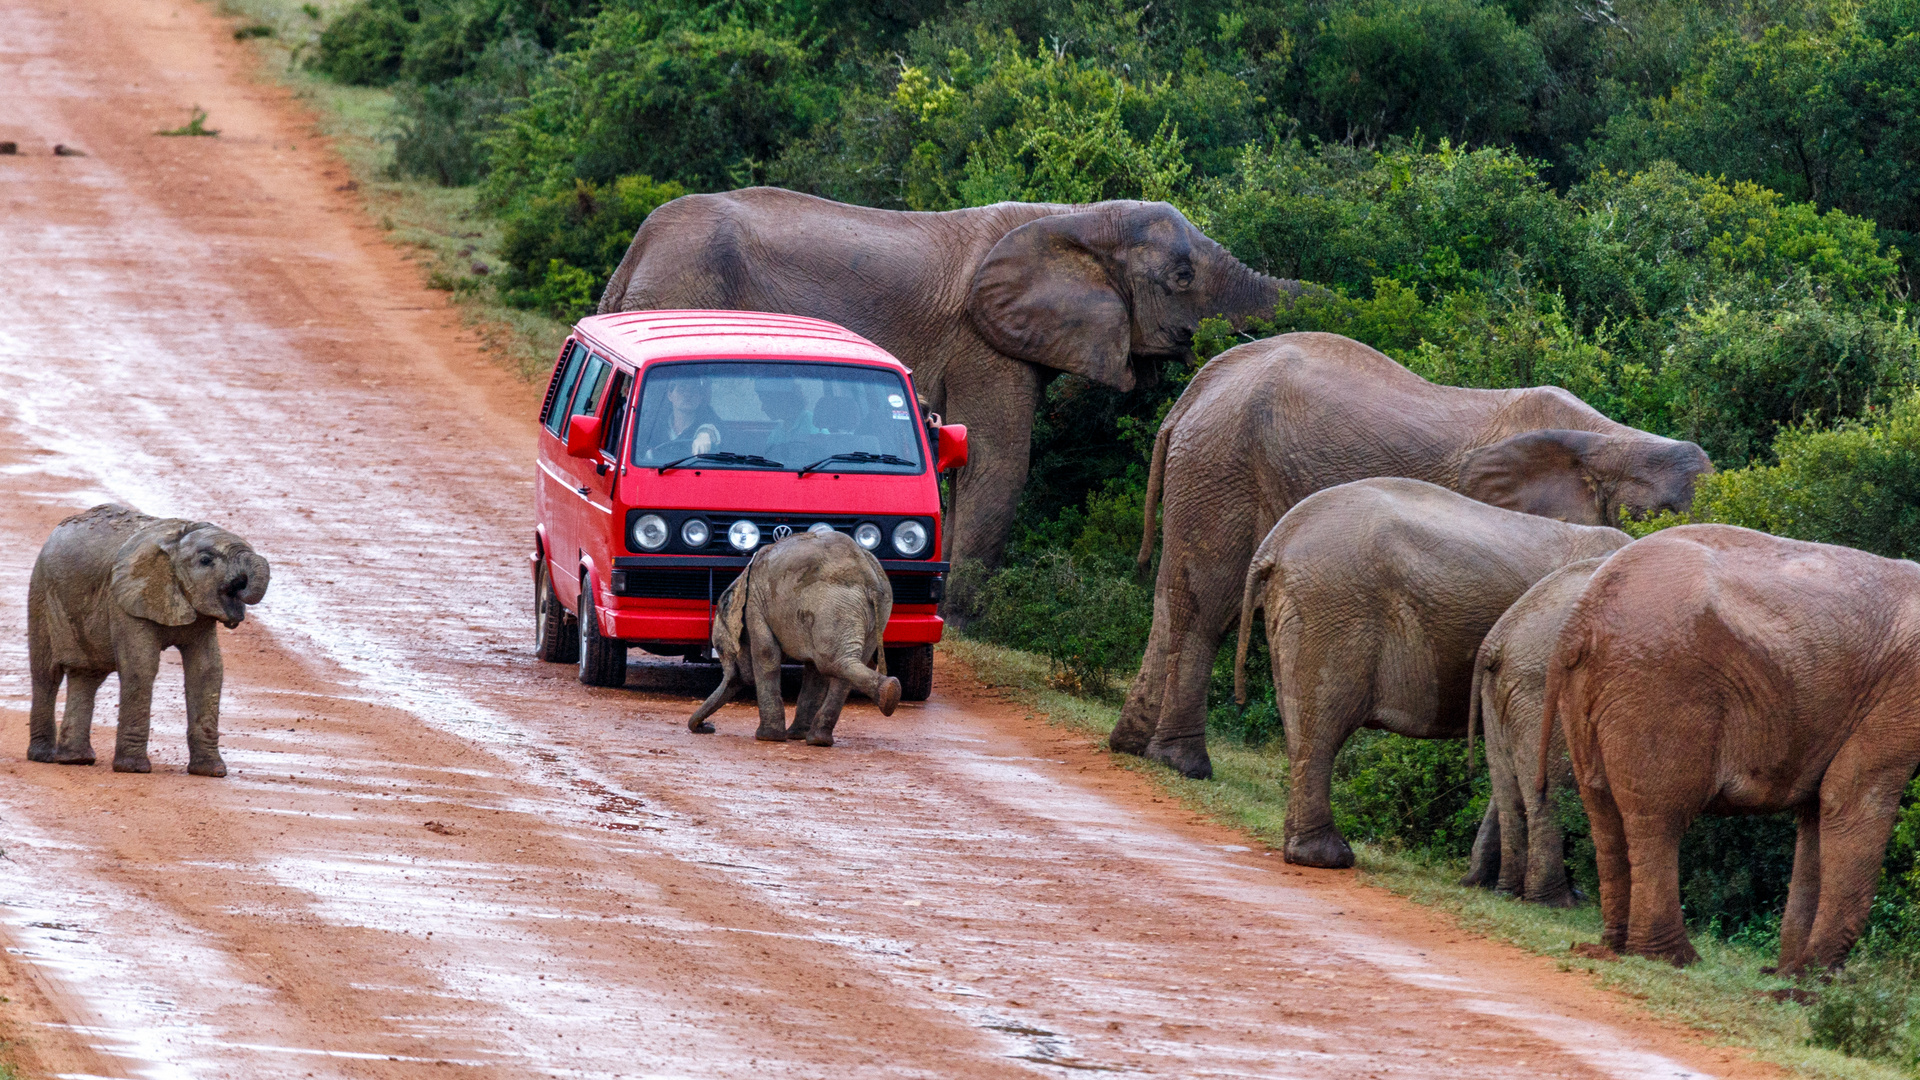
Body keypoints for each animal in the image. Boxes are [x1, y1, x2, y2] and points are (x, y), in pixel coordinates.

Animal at [27, 503, 270, 772]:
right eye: (206, 561)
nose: (240, 584)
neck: (175, 540)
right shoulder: (124, 600)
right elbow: (140, 666)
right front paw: (133, 769)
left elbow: (207, 671)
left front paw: (212, 771)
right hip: (40, 593)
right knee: (46, 676)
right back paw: (43, 756)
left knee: (87, 676)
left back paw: (76, 759)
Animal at [591, 187, 1297, 572]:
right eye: (1181, 277)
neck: (1073, 216)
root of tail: (637, 250)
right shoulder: (984, 343)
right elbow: (999, 463)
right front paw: (959, 619)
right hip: (683, 290)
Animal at [691, 526, 898, 745]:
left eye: (721, 650)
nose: (708, 727)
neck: (739, 582)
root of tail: (869, 578)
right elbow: (813, 672)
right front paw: (794, 736)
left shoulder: (755, 606)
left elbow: (767, 654)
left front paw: (768, 738)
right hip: (874, 613)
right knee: (839, 666)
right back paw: (820, 739)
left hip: (832, 606)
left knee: (831, 661)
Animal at [1121, 332, 1712, 776]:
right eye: (1660, 515)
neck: (1611, 440)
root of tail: (1196, 390)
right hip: (1225, 465)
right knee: (1206, 609)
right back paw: (1183, 763)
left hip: (1209, 465)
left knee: (1174, 597)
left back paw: (1130, 743)